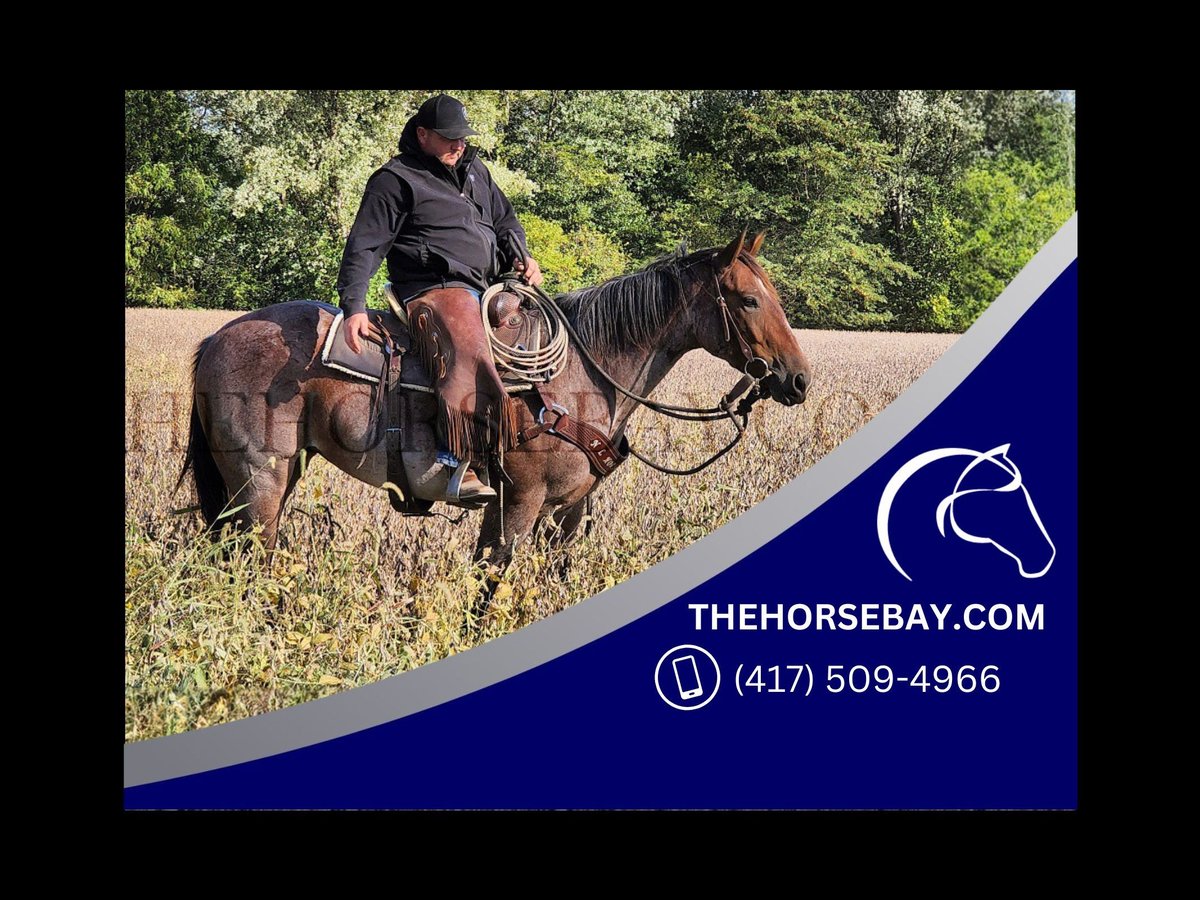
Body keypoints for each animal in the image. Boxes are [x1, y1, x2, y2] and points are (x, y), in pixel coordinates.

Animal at [180, 230, 812, 586]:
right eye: (748, 299)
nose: (798, 380)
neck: (579, 379)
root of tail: (216, 339)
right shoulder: (521, 503)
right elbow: (490, 587)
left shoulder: (565, 510)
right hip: (258, 482)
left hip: (276, 477)